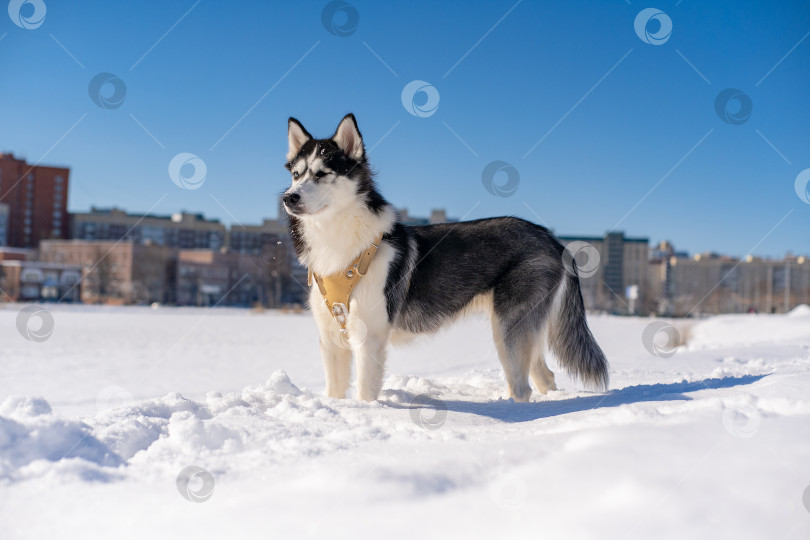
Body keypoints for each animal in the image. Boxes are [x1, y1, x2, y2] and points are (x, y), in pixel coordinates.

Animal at [280, 114, 604, 400]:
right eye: (296, 175)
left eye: (322, 174)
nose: (288, 197)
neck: (338, 241)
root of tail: (550, 237)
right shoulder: (331, 340)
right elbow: (334, 393)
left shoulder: (368, 337)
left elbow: (365, 395)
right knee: (544, 376)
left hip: (508, 328)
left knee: (521, 387)